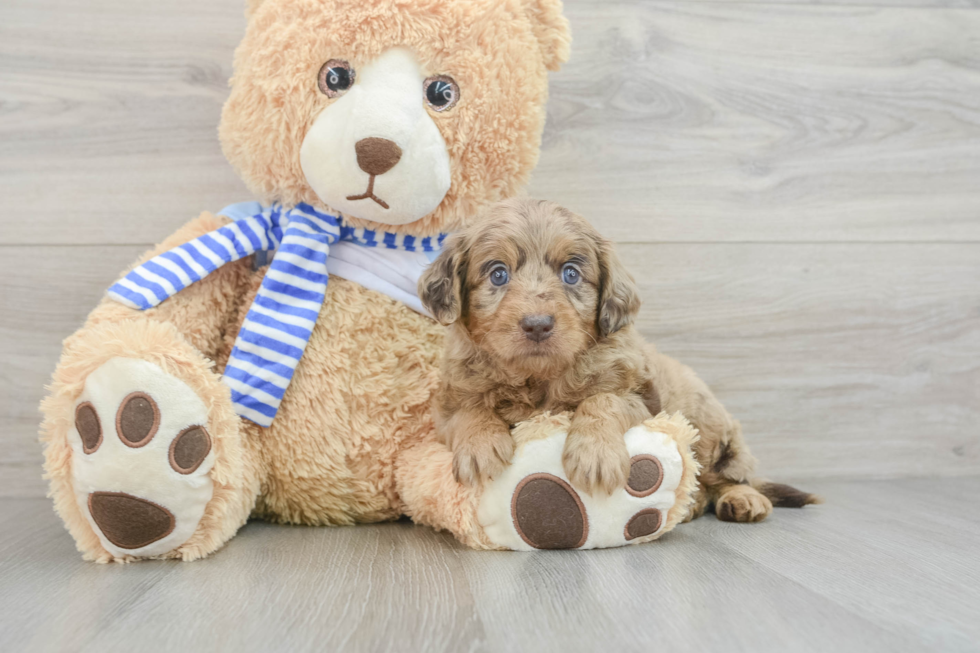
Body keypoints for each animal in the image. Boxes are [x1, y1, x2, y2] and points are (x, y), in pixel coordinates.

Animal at [418, 196, 816, 524]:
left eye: (571, 273)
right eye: (498, 273)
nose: (537, 324)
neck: (538, 377)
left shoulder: (639, 397)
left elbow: (601, 401)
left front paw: (595, 455)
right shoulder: (447, 403)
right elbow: (470, 411)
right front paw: (480, 448)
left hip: (712, 431)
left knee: (728, 476)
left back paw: (742, 500)